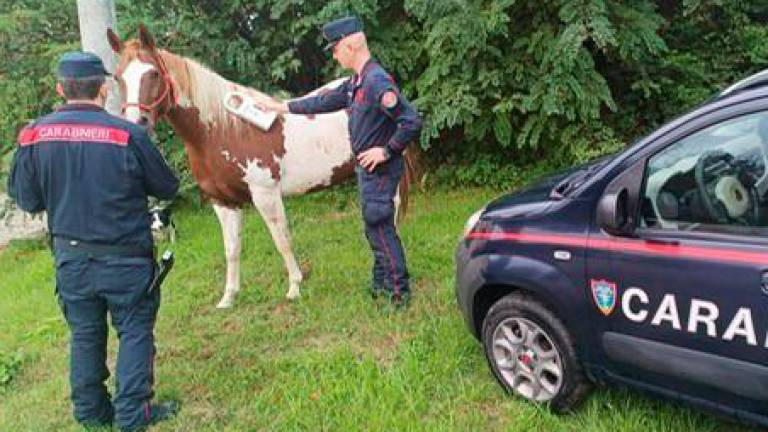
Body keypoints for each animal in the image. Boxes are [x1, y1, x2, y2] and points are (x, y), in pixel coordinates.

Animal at [108, 25, 414, 308]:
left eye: (154, 74)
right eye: (118, 77)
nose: (136, 124)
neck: (223, 131)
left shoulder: (265, 194)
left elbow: (282, 240)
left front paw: (295, 287)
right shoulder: (223, 203)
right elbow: (231, 249)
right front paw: (228, 297)